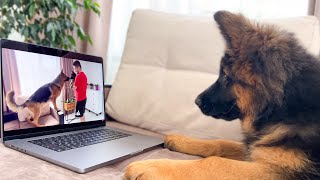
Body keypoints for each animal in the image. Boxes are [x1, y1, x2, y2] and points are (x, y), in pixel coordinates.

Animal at [124, 10, 320, 179]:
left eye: (225, 76)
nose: (196, 101)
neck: (282, 106)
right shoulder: (254, 151)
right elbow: (221, 143)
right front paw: (183, 140)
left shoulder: (278, 170)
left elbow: (214, 162)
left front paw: (151, 166)